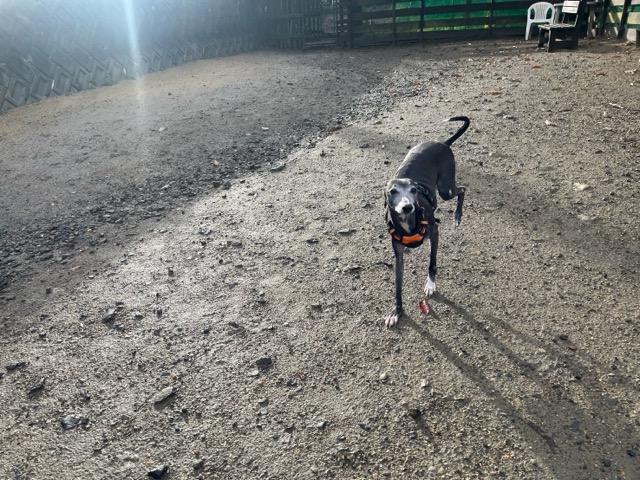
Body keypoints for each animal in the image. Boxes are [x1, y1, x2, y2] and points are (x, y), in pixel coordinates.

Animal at [384, 116, 469, 327]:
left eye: (414, 190)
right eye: (392, 192)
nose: (407, 207)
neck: (407, 221)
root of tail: (442, 143)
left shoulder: (435, 233)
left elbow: (432, 263)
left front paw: (430, 285)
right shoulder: (398, 257)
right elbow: (398, 287)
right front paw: (396, 311)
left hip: (446, 188)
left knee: (462, 190)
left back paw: (457, 216)